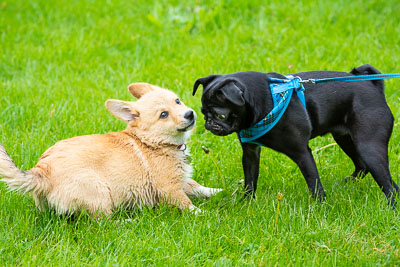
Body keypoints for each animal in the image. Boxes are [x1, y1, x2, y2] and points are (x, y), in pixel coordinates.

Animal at [0, 84, 222, 218]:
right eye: (163, 115)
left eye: (177, 101)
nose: (190, 114)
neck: (153, 141)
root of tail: (42, 171)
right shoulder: (170, 188)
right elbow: (187, 203)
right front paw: (204, 214)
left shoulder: (182, 180)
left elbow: (196, 186)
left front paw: (218, 191)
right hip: (99, 194)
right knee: (102, 222)